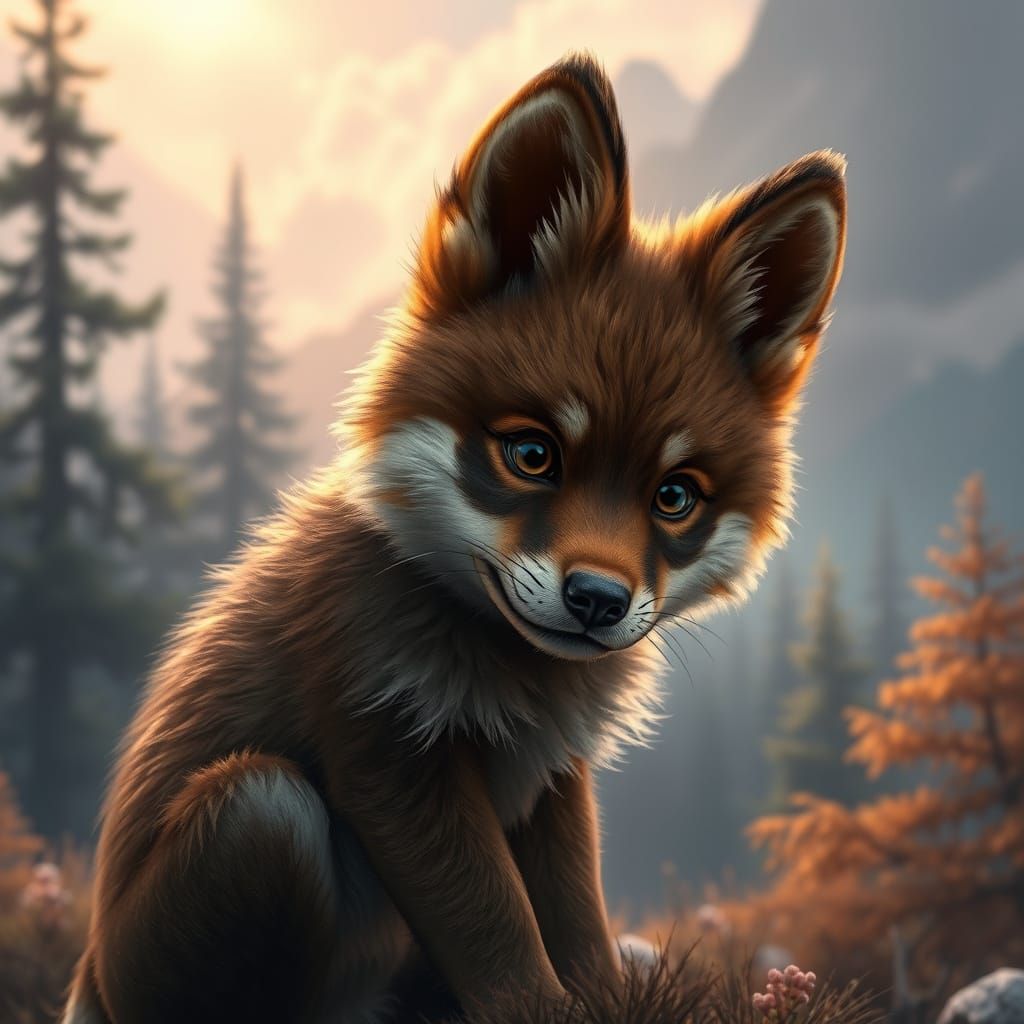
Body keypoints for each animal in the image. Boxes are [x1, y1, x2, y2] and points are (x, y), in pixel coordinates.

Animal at [64, 53, 846, 1024]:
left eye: (673, 498)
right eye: (532, 453)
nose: (598, 600)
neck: (507, 680)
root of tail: (88, 978)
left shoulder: (550, 776)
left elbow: (575, 921)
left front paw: (604, 999)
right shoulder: (389, 749)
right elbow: (496, 928)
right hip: (260, 807)